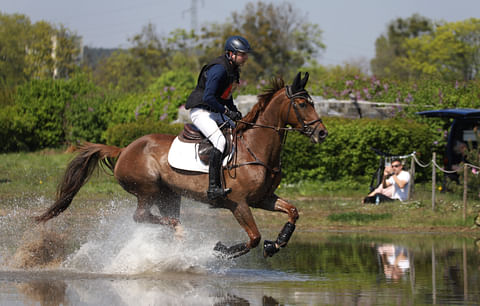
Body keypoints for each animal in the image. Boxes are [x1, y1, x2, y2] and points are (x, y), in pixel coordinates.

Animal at [35, 71, 328, 258]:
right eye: (302, 103)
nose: (322, 133)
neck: (254, 147)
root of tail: (124, 149)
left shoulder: (262, 199)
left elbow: (292, 212)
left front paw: (276, 244)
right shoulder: (239, 204)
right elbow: (253, 238)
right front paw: (222, 250)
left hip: (169, 194)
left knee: (159, 216)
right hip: (148, 189)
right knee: (141, 216)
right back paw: (179, 232)